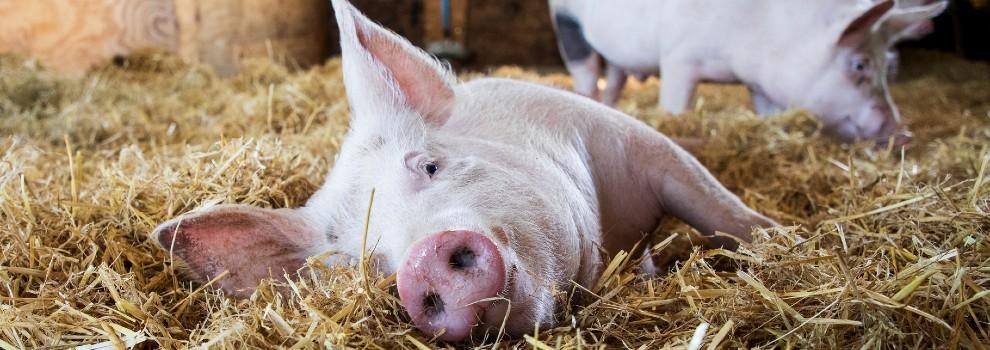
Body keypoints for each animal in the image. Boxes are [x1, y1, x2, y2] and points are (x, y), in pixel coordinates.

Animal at [151, 0, 780, 344]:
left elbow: (716, 207)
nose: (421, 263)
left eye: (430, 164)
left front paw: (779, 239)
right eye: (360, 263)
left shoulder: (632, 142)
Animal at [556, 0, 948, 144]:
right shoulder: (679, 59)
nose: (902, 131)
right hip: (566, 21)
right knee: (587, 72)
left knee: (614, 78)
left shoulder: (760, 84)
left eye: (888, 65)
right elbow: (675, 108)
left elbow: (766, 113)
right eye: (860, 64)